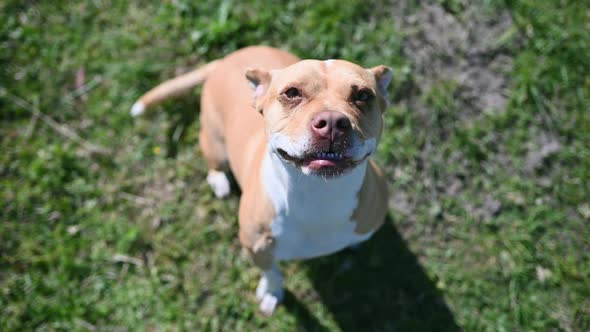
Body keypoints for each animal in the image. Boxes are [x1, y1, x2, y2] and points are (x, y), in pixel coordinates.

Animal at [134, 46, 394, 314]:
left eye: (363, 95)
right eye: (292, 93)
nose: (332, 122)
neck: (317, 195)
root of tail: (224, 60)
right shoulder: (255, 247)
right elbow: (271, 273)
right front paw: (270, 292)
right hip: (214, 142)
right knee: (214, 163)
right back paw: (219, 182)